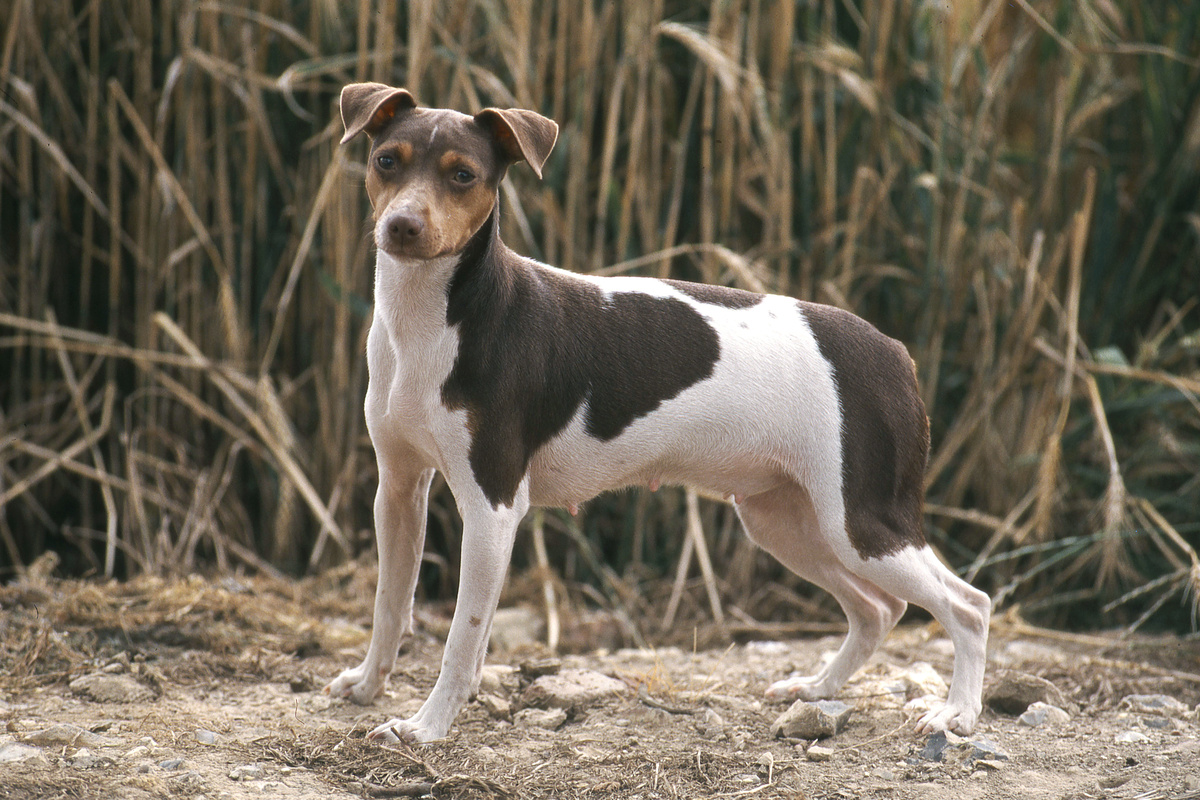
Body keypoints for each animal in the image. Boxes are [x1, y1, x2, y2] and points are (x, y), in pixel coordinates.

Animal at [324, 82, 988, 743]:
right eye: (386, 161)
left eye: (462, 175)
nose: (402, 226)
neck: (434, 321)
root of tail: (895, 352)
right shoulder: (399, 489)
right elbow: (389, 604)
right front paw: (367, 686)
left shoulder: (492, 508)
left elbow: (462, 639)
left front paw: (426, 727)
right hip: (788, 522)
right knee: (878, 609)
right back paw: (818, 688)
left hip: (861, 522)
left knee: (967, 607)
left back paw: (956, 712)